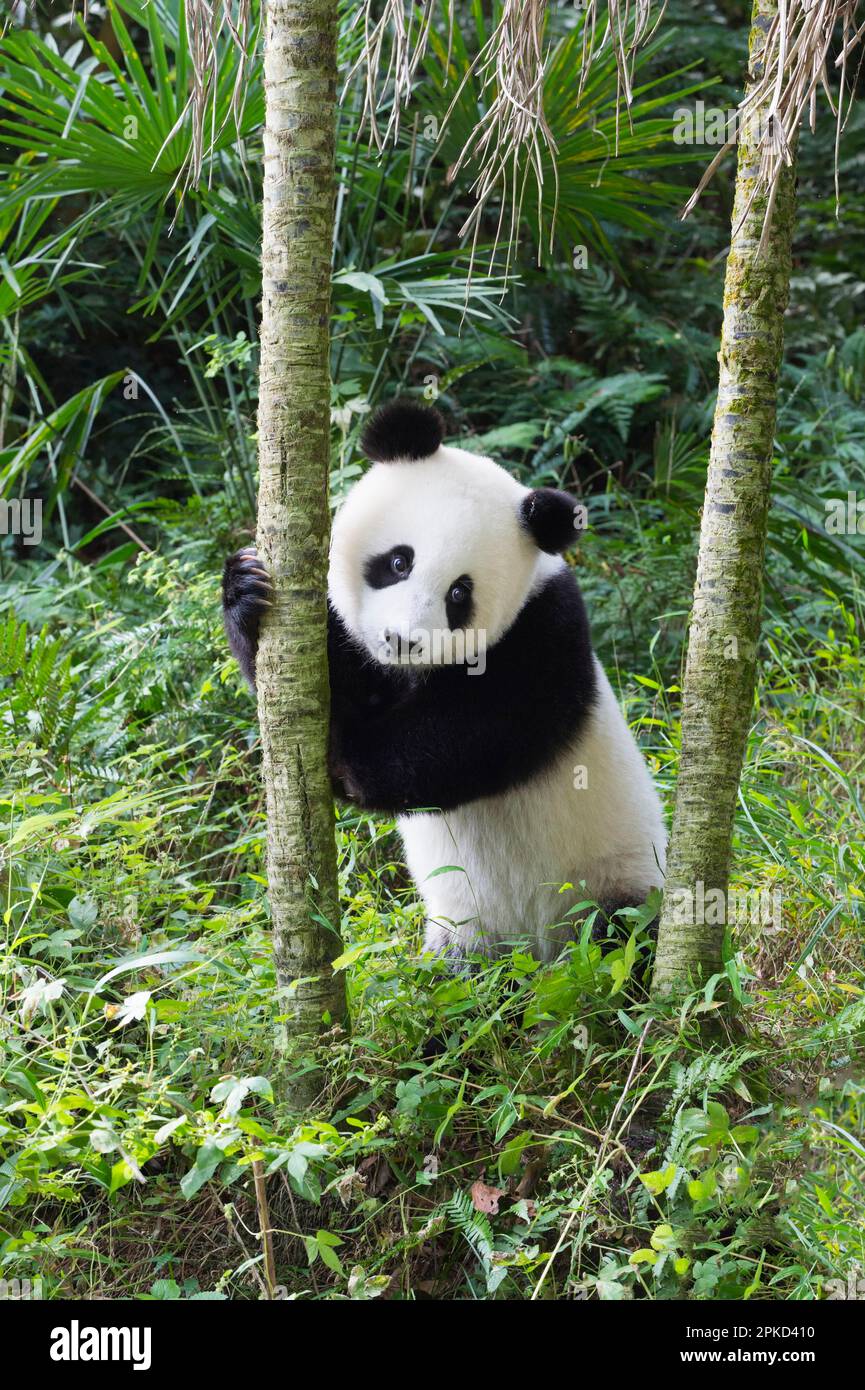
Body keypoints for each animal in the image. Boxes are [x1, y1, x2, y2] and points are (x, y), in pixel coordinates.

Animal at [219, 403, 667, 961]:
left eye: (459, 594)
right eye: (398, 561)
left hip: (614, 880)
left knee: (620, 940)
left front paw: (342, 760)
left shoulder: (545, 631)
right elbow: (339, 678)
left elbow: (470, 741)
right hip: (463, 927)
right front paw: (245, 589)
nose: (400, 639)